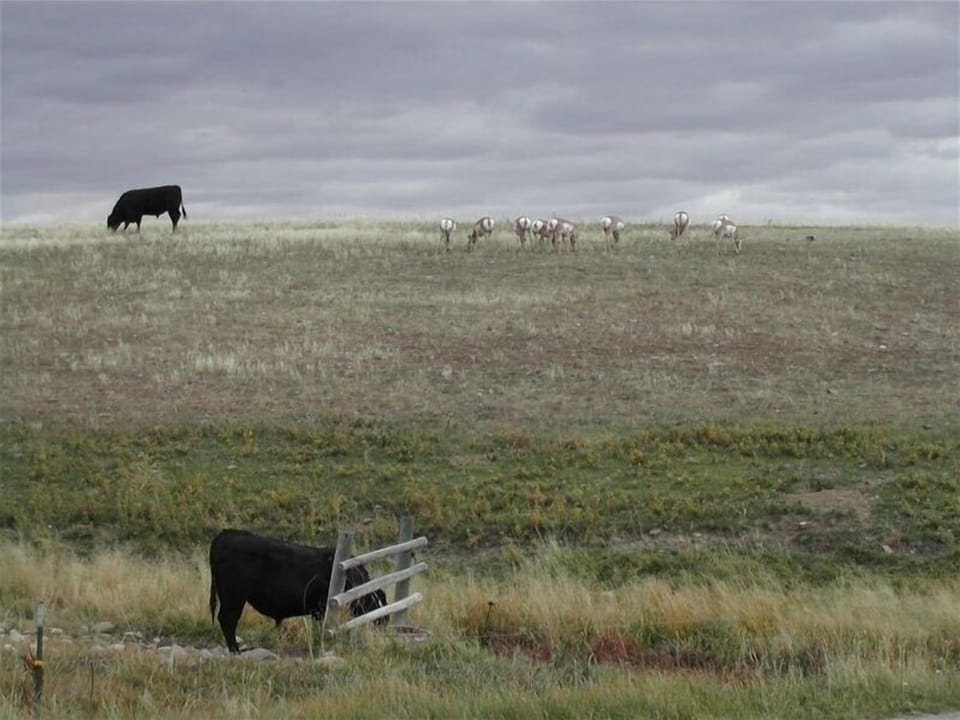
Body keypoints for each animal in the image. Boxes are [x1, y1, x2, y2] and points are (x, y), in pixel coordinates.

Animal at [208, 529, 387, 654]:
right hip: (234, 597)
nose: (385, 620)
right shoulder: (322, 607)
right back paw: (235, 651)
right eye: (378, 602)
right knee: (227, 620)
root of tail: (226, 534)